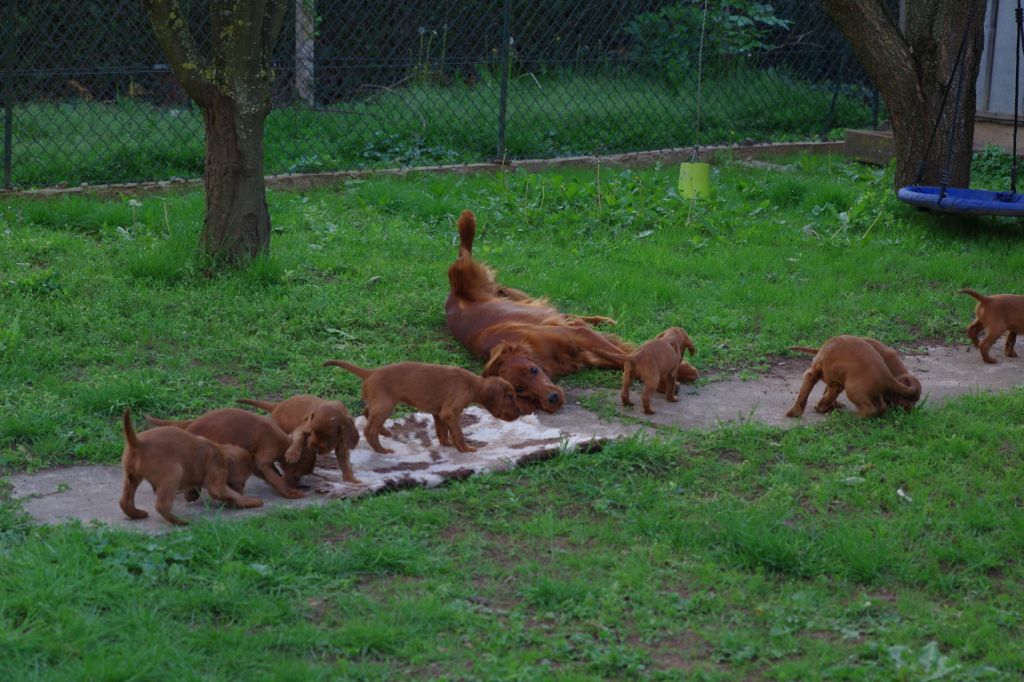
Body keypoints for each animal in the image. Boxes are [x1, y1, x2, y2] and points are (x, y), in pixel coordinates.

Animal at [444, 206, 700, 411]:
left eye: (533, 371)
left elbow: (625, 355)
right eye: (519, 389)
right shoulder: (587, 355)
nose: (553, 398)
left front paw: (678, 373)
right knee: (566, 314)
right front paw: (670, 378)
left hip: (467, 276)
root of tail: (451, 300)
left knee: (462, 254)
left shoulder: (580, 336)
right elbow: (624, 360)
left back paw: (467, 220)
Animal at [786, 333, 925, 417]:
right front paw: (825, 406)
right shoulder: (837, 382)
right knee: (880, 407)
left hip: (852, 389)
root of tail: (887, 375)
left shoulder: (813, 373)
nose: (910, 411)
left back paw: (852, 417)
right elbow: (828, 394)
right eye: (909, 399)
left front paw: (795, 412)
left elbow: (804, 394)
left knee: (870, 409)